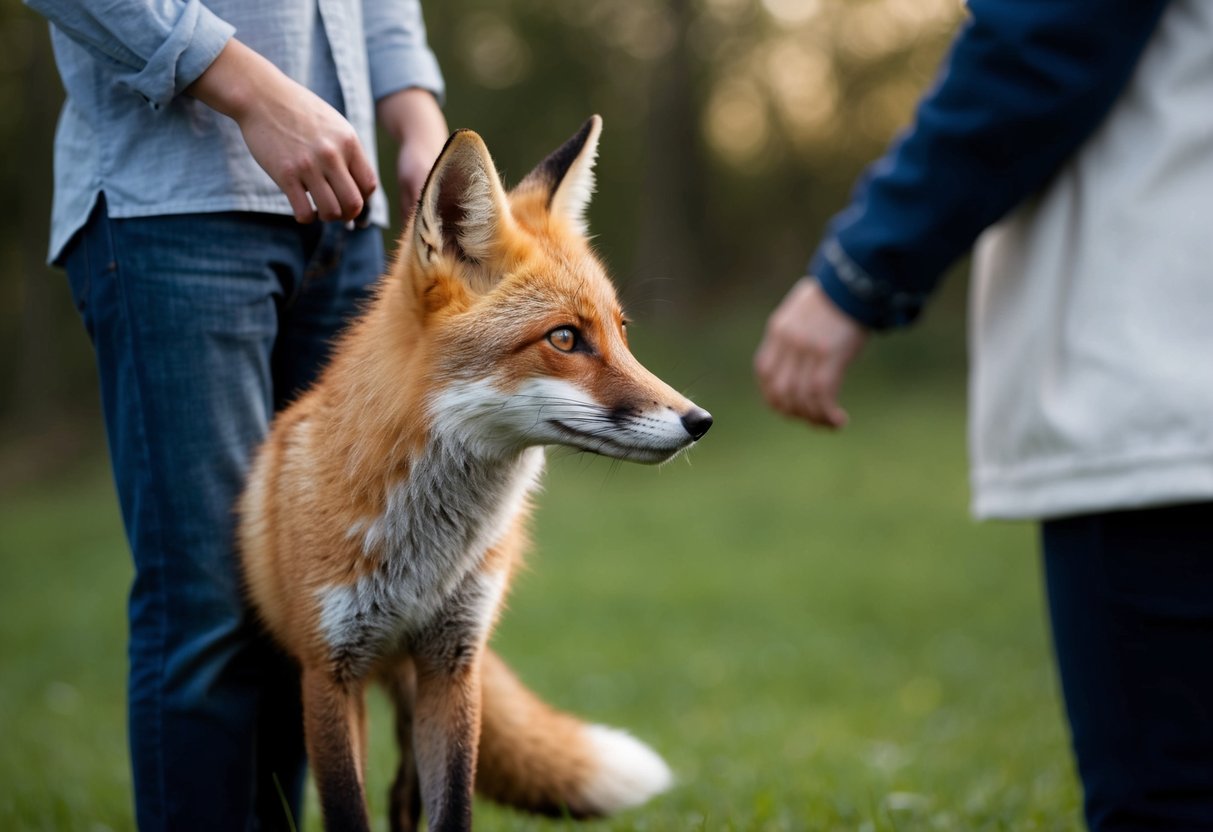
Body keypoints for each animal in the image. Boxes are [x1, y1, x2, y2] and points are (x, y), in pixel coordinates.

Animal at [237, 115, 713, 832]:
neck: (423, 553)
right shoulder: (328, 670)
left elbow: (454, 807)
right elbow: (347, 810)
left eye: (621, 332)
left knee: (405, 797)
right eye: (565, 339)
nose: (699, 420)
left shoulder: (452, 660)